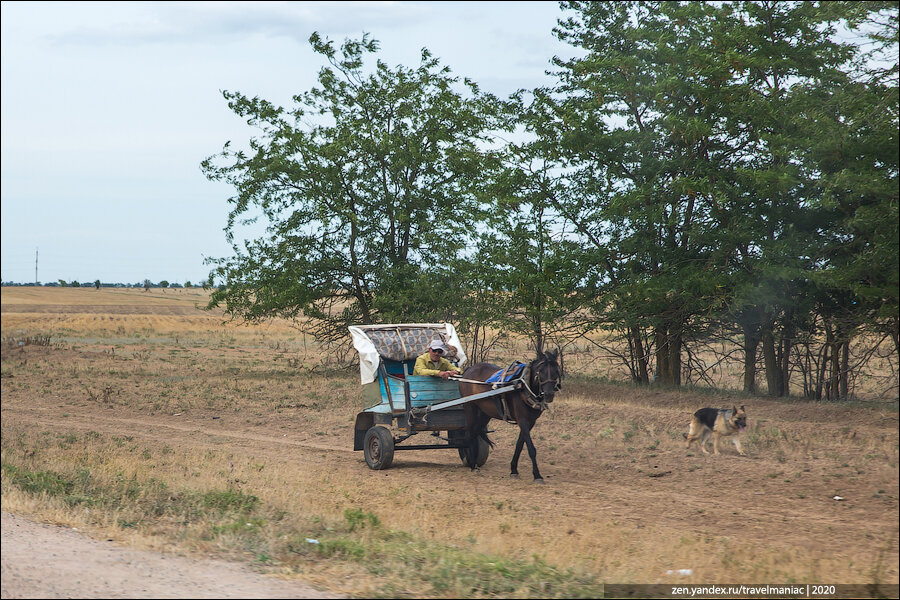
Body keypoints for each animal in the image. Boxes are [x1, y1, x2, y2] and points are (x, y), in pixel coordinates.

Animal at [460, 346, 560, 482]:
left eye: (556, 370)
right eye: (541, 371)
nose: (549, 394)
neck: (523, 386)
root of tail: (468, 370)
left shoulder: (530, 422)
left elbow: (519, 445)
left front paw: (513, 470)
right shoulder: (522, 420)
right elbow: (531, 448)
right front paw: (537, 475)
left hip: (484, 413)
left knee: (475, 432)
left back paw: (474, 462)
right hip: (470, 407)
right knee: (469, 434)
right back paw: (472, 465)